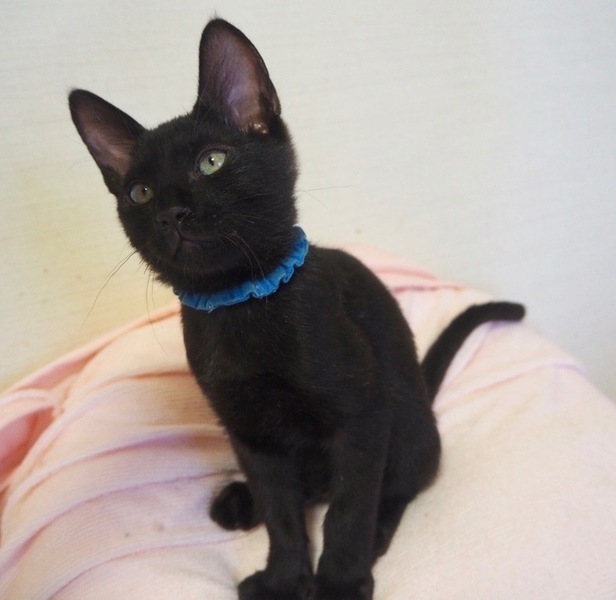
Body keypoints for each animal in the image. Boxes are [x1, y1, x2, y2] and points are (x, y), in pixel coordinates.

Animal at [68, 18, 524, 600]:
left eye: (212, 161)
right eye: (140, 192)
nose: (170, 213)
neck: (240, 303)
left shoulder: (362, 416)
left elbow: (349, 508)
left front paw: (340, 581)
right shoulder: (250, 432)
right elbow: (281, 512)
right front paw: (286, 578)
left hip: (409, 426)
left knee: (403, 483)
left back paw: (377, 532)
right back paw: (240, 501)